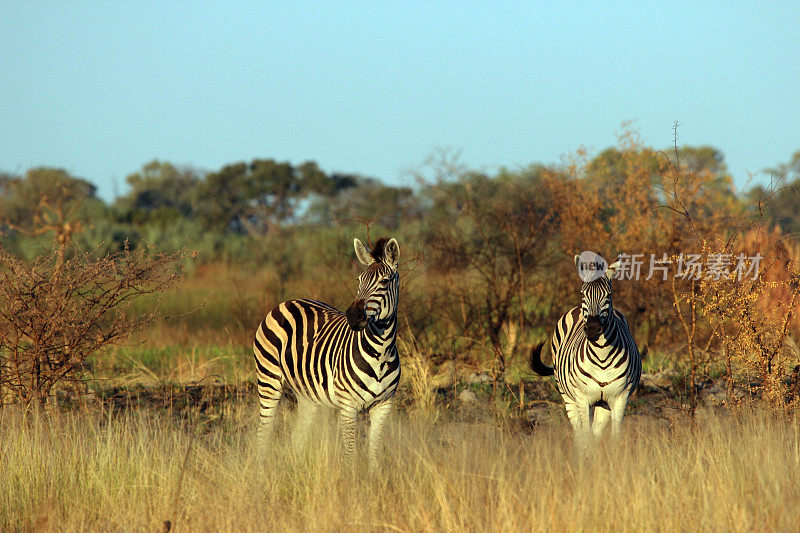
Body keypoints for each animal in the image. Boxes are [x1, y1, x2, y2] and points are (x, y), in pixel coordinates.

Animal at [255, 236, 400, 466]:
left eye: (385, 282)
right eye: (358, 280)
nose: (353, 316)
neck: (381, 351)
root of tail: (286, 302)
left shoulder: (384, 405)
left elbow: (374, 454)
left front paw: (374, 476)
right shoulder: (348, 406)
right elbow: (350, 454)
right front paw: (351, 476)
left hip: (307, 395)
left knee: (297, 438)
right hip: (268, 380)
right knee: (263, 433)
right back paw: (259, 472)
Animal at [532, 256, 644, 448]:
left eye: (608, 295)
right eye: (582, 294)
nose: (592, 328)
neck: (602, 355)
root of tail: (575, 308)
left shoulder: (620, 398)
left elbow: (614, 437)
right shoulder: (583, 398)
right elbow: (585, 437)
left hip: (603, 403)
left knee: (596, 432)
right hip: (569, 397)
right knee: (580, 433)